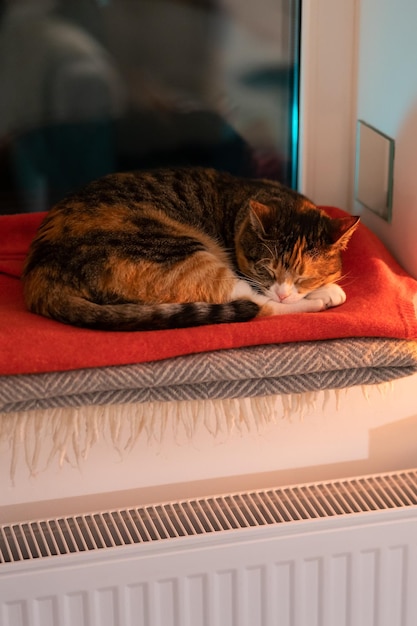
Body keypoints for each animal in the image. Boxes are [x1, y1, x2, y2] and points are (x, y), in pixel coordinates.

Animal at [22, 166, 360, 332]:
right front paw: (326, 292)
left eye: (303, 277)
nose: (285, 292)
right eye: (265, 269)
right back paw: (317, 304)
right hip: (180, 250)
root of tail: (40, 276)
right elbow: (263, 295)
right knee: (254, 305)